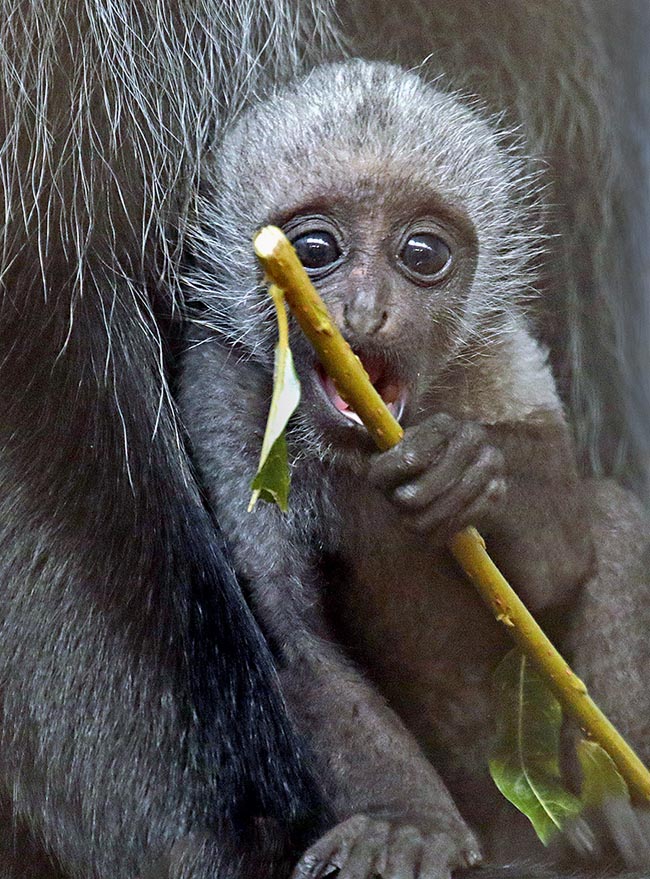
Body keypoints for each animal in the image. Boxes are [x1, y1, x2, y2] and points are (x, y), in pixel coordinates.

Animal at [180, 58, 648, 876]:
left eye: (422, 255)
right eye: (314, 250)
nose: (364, 314)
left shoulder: (505, 360)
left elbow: (564, 558)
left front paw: (469, 468)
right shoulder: (223, 395)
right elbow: (296, 633)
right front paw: (408, 821)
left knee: (617, 518)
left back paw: (613, 806)